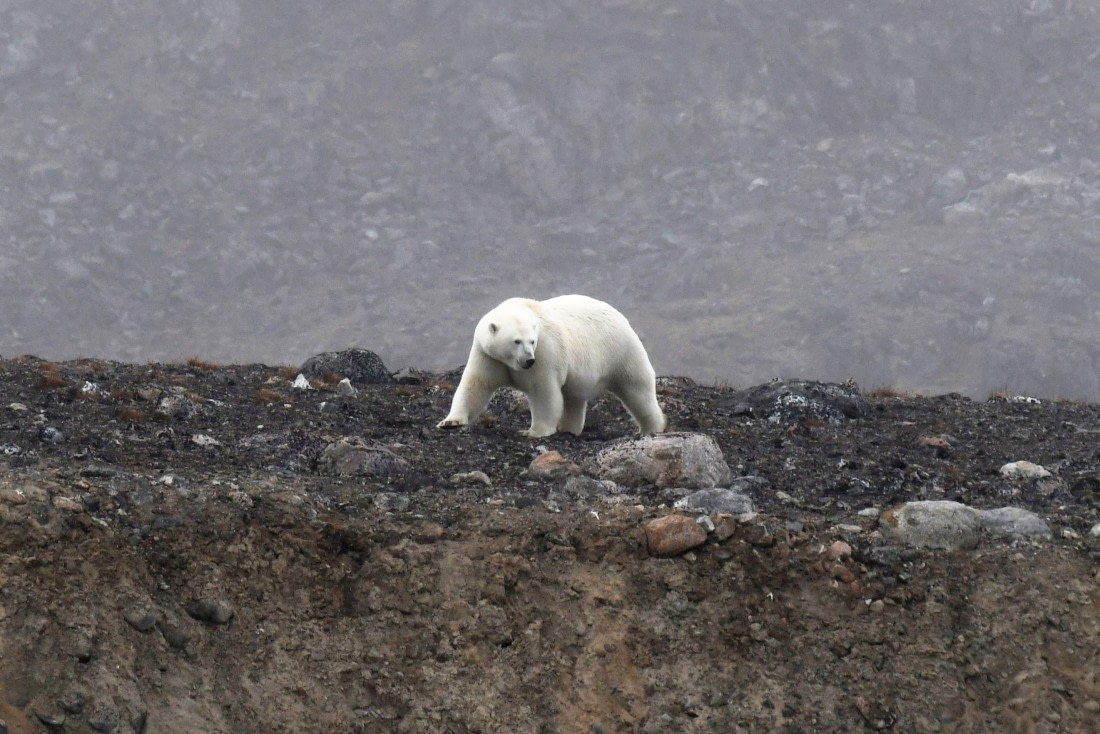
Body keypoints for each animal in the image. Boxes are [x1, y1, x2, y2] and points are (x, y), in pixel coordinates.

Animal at [437, 295, 667, 438]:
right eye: (516, 341)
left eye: (532, 341)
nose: (529, 360)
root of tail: (621, 316)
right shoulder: (487, 355)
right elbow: (475, 385)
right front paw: (451, 421)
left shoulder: (546, 352)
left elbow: (543, 392)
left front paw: (534, 432)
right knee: (573, 398)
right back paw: (569, 428)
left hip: (620, 352)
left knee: (637, 390)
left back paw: (652, 427)